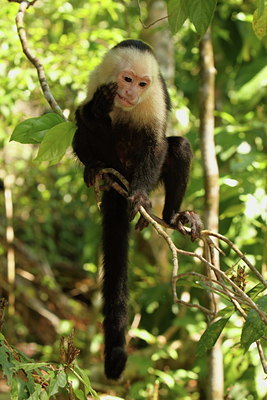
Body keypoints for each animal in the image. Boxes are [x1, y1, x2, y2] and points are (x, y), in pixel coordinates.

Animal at [72, 39, 202, 380]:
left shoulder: (154, 97)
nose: (131, 93)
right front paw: (98, 112)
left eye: (142, 84)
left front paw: (142, 199)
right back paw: (97, 169)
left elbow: (155, 143)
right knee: (81, 128)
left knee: (178, 147)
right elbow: (84, 117)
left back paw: (172, 217)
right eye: (126, 79)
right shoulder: (96, 79)